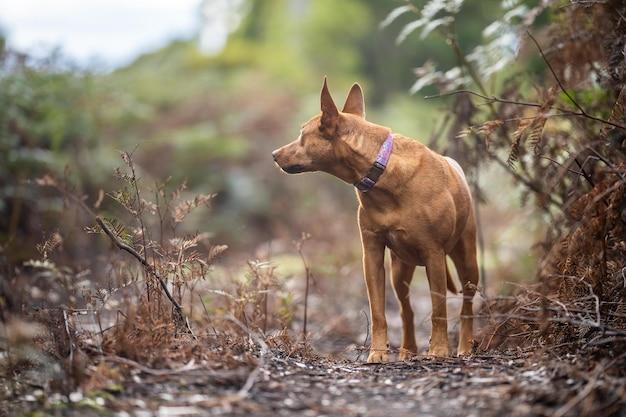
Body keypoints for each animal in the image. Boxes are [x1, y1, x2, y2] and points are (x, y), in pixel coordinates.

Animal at [270, 77, 478, 360]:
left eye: (302, 135)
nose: (273, 154)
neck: (381, 171)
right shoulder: (372, 255)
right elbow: (379, 311)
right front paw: (377, 353)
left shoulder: (434, 254)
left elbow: (438, 309)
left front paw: (438, 350)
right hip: (399, 271)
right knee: (406, 310)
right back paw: (407, 351)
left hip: (467, 263)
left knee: (466, 306)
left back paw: (465, 346)